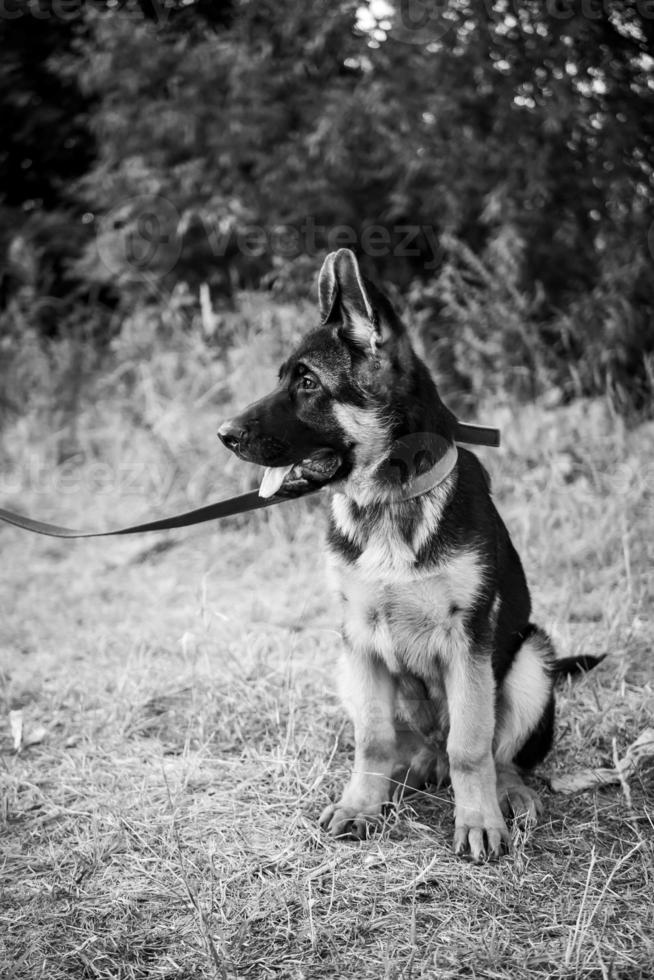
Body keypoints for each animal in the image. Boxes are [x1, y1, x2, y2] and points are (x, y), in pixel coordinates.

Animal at [220, 249, 604, 860]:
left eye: (307, 382)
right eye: (284, 378)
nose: (224, 434)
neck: (388, 500)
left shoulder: (468, 639)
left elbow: (472, 745)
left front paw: (478, 821)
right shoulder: (359, 639)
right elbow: (372, 738)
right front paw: (360, 805)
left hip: (529, 660)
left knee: (497, 753)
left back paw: (507, 793)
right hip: (348, 668)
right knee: (411, 743)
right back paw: (410, 770)